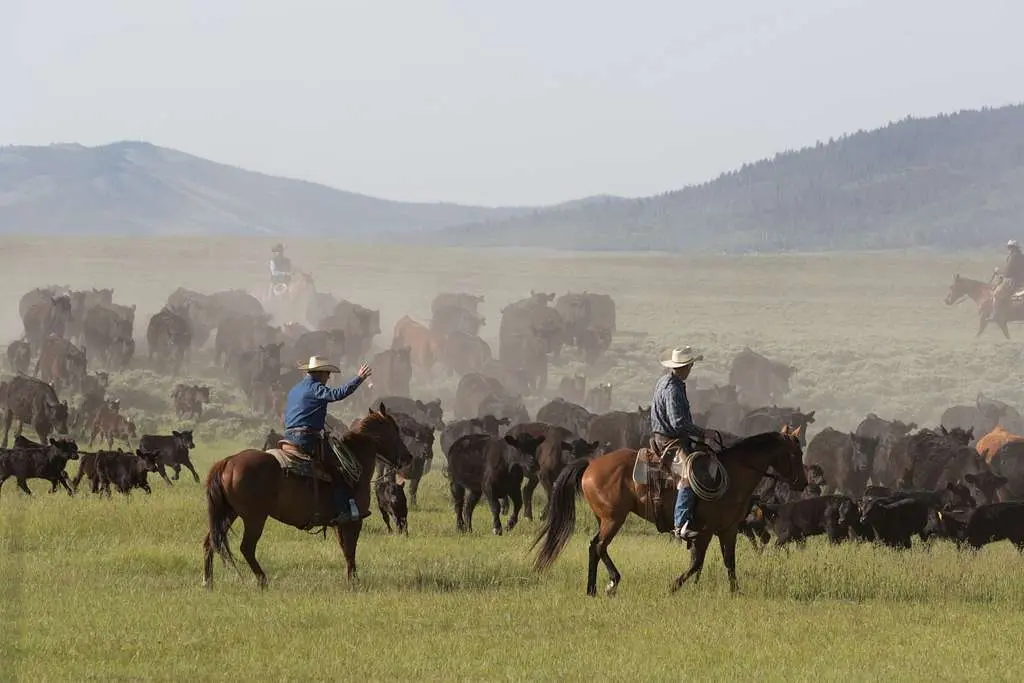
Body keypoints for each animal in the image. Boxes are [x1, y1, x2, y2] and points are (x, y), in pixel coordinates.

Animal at [201, 403, 413, 589]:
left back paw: (208, 582)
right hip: (254, 518)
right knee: (246, 548)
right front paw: (354, 582)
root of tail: (228, 462)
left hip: (229, 513)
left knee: (210, 541)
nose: (408, 457)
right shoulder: (354, 520)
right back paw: (262, 581)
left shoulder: (339, 523)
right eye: (395, 429)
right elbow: (351, 549)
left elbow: (345, 549)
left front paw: (350, 579)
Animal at [528, 428, 806, 598]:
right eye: (796, 453)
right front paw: (673, 587)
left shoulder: (727, 530)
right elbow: (696, 563)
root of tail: (591, 464)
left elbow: (730, 562)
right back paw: (608, 584)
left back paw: (596, 587)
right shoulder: (704, 531)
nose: (802, 483)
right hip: (613, 519)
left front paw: (735, 592)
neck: (733, 474)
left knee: (596, 547)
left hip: (606, 519)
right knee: (597, 546)